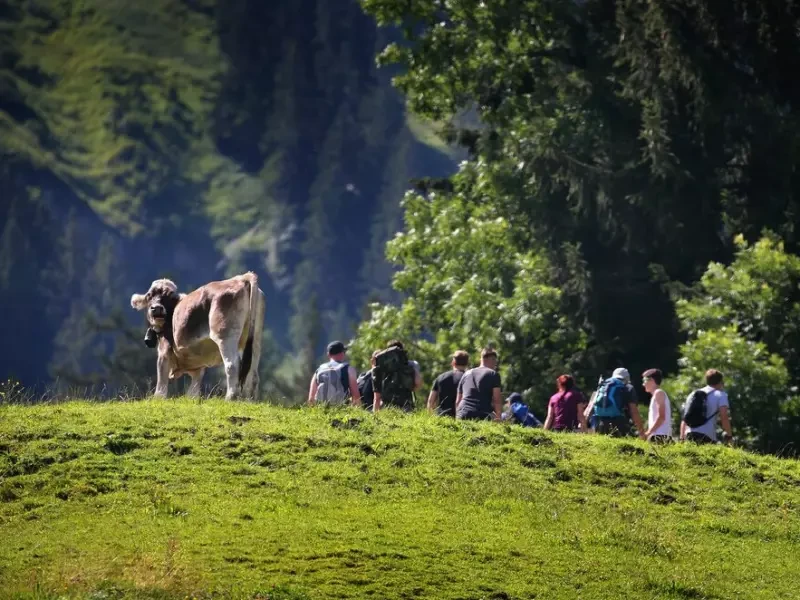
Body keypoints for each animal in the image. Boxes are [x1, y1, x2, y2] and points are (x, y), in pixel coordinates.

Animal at [130, 272, 266, 398]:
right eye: (149, 295)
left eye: (170, 296)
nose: (156, 308)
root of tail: (241, 278)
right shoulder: (198, 366)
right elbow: (193, 390)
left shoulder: (164, 351)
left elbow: (161, 381)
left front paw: (158, 398)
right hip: (255, 339)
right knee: (253, 373)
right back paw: (249, 400)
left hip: (225, 336)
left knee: (232, 365)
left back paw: (230, 398)